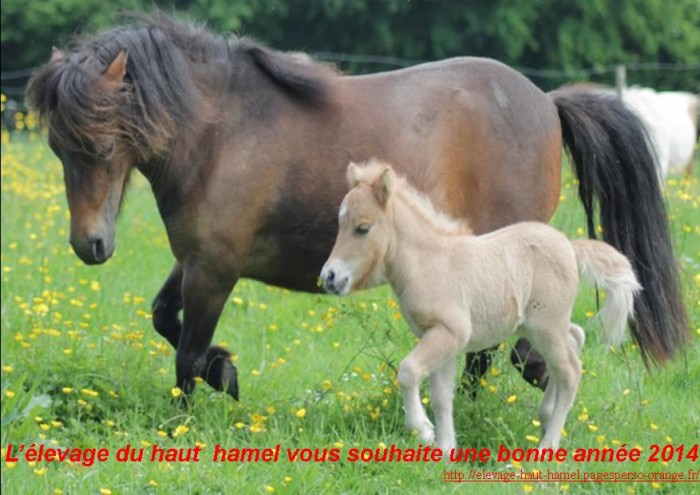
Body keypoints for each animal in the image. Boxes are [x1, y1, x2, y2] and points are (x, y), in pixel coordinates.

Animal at [27, 13, 688, 404]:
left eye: (102, 147)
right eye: (57, 147)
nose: (89, 245)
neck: (221, 133)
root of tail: (548, 101)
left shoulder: (215, 268)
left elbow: (186, 354)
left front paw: (190, 420)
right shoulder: (196, 261)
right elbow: (165, 319)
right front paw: (228, 373)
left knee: (497, 348)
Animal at [320, 161, 644, 456]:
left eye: (363, 228)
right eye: (339, 224)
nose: (329, 277)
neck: (429, 262)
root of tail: (570, 246)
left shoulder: (449, 332)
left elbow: (409, 372)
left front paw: (423, 430)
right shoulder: (440, 337)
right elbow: (441, 395)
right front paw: (446, 451)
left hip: (546, 327)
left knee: (570, 370)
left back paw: (547, 446)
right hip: (540, 326)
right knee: (576, 338)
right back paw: (547, 413)